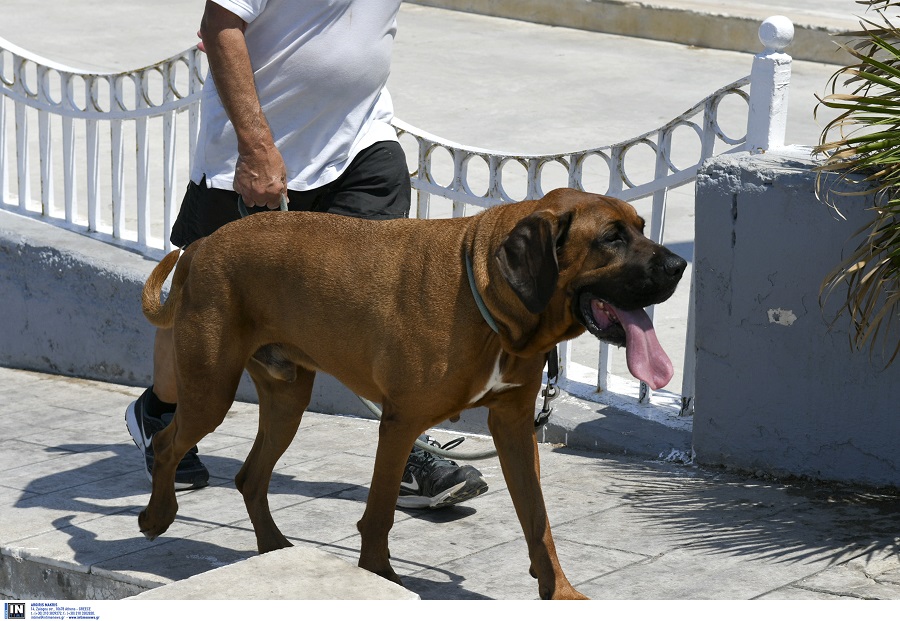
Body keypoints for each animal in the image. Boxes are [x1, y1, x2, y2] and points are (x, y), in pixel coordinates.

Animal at [135, 186, 684, 600]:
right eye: (611, 238)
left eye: (641, 225)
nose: (680, 265)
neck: (487, 298)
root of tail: (202, 245)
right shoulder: (401, 424)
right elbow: (378, 515)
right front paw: (381, 579)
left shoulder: (513, 426)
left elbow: (538, 521)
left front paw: (560, 592)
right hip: (212, 390)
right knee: (167, 443)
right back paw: (158, 516)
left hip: (287, 399)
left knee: (250, 475)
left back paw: (275, 547)